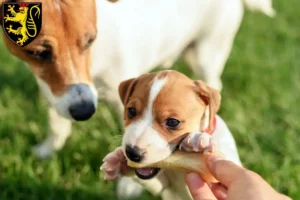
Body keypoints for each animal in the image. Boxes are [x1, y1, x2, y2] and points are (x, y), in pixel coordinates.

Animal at [101, 70, 241, 200]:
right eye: (131, 111)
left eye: (173, 122)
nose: (132, 153)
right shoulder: (164, 186)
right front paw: (118, 162)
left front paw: (197, 141)